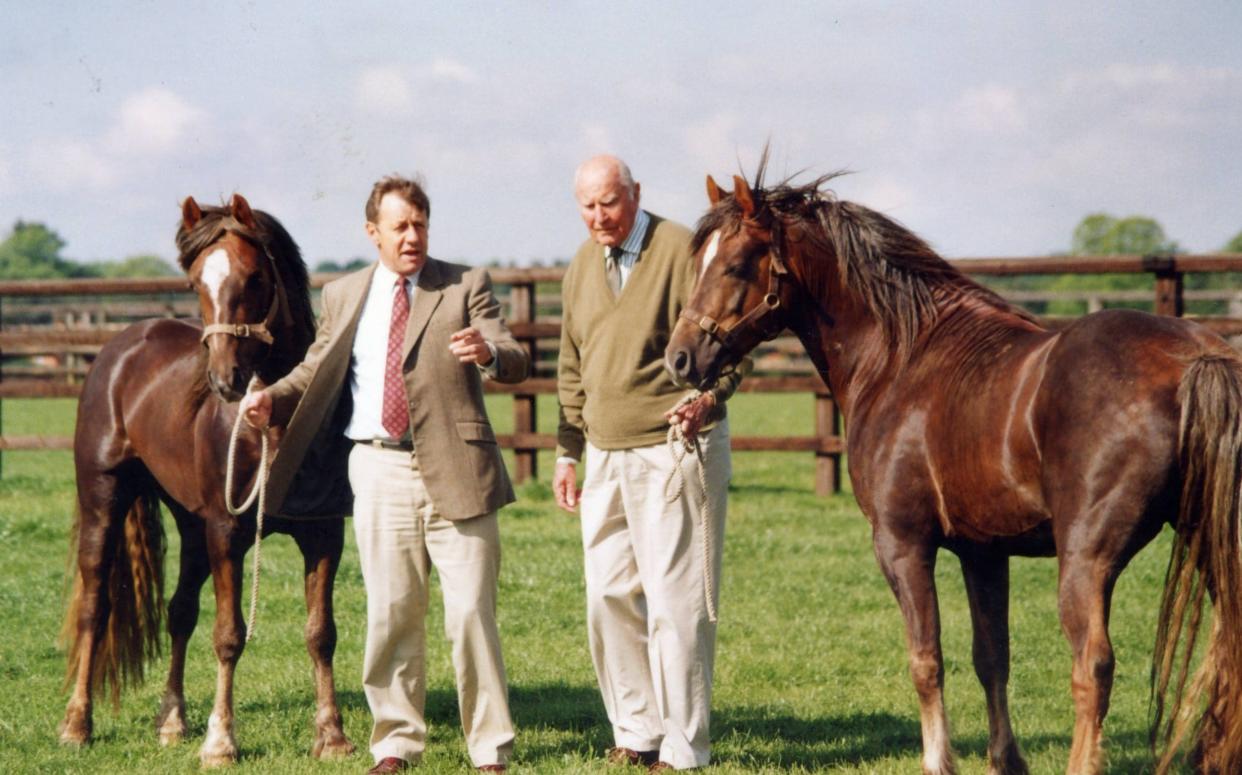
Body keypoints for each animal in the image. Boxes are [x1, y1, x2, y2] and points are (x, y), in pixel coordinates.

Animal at [60, 194, 357, 770]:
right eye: (197, 281)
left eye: (256, 277)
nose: (225, 380)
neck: (276, 417)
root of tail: (122, 345)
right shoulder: (227, 533)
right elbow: (228, 636)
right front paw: (221, 742)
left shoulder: (323, 532)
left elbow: (321, 632)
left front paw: (332, 736)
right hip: (105, 499)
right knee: (95, 606)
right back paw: (77, 724)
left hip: (190, 526)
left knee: (179, 612)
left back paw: (171, 720)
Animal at [670, 168, 1242, 775]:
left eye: (735, 265)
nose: (679, 358)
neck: (901, 359)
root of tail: (1198, 359)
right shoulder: (983, 552)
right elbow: (991, 658)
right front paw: (1006, 760)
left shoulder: (902, 545)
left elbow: (927, 659)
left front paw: (938, 760)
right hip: (1209, 542)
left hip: (1088, 559)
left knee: (1093, 666)